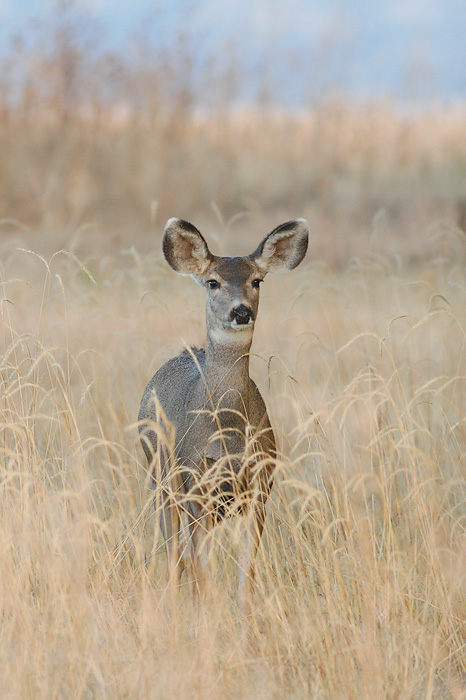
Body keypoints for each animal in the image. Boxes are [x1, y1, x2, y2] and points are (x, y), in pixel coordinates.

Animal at [140, 217, 312, 628]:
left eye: (257, 280)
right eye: (213, 282)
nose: (241, 312)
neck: (227, 429)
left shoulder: (260, 484)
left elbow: (246, 568)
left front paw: (247, 621)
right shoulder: (194, 481)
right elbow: (198, 562)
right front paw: (205, 620)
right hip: (160, 478)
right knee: (174, 551)